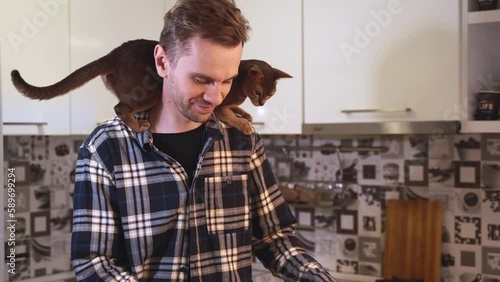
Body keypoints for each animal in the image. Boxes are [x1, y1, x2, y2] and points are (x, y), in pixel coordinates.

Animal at [10, 38, 292, 134]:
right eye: (259, 92)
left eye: (270, 94)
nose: (261, 102)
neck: (238, 83)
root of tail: (113, 54)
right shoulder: (218, 107)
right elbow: (231, 116)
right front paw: (246, 124)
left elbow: (238, 111)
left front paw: (247, 114)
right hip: (151, 92)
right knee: (120, 107)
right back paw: (137, 126)